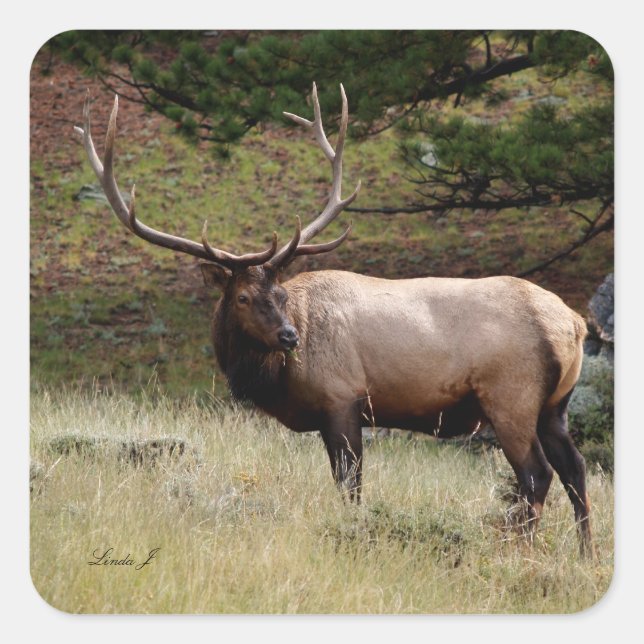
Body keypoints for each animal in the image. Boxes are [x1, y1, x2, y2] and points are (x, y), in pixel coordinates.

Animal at [75, 83, 592, 556]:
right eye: (243, 296)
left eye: (279, 293)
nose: (289, 336)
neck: (275, 381)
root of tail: (575, 324)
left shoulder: (342, 399)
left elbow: (351, 486)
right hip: (555, 405)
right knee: (576, 468)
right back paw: (585, 554)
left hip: (511, 396)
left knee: (536, 474)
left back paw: (521, 550)